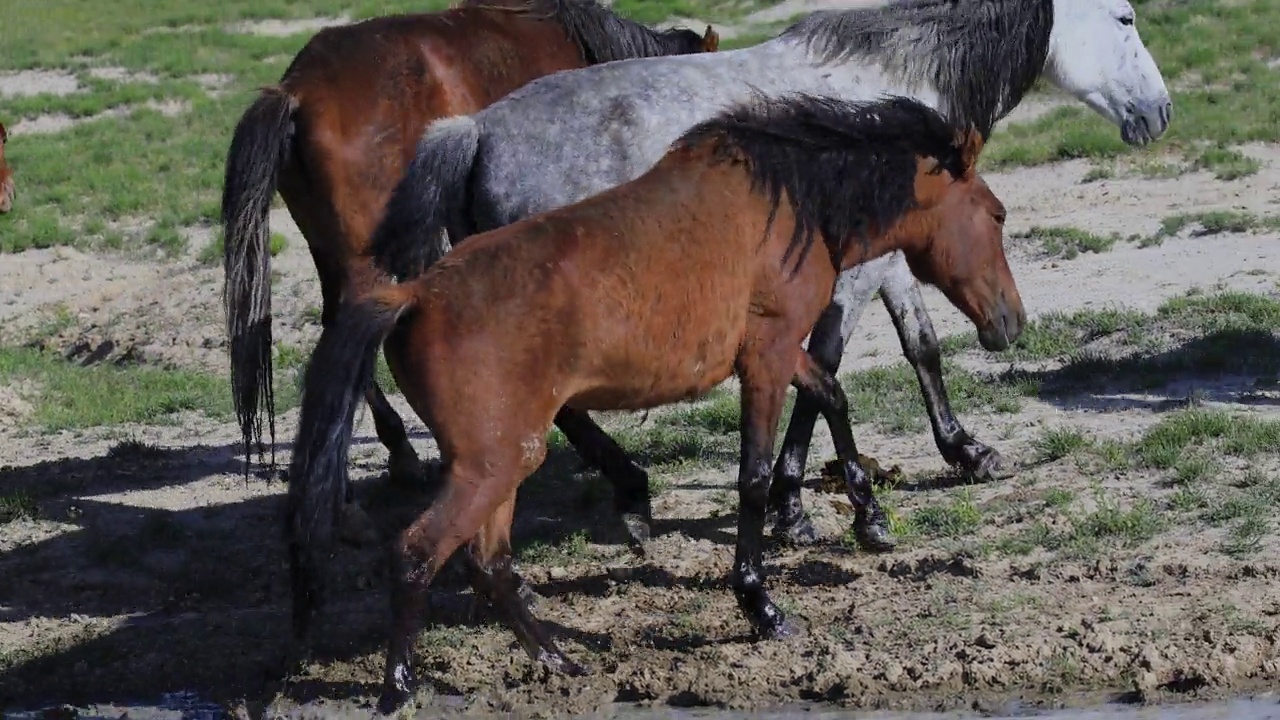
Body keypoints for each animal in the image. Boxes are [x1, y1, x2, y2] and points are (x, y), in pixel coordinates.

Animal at [285, 90, 1024, 707]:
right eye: (996, 214)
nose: (1011, 322)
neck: (792, 202)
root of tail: (412, 295)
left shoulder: (781, 349)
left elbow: (834, 397)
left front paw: (868, 518)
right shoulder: (765, 358)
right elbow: (754, 477)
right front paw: (761, 606)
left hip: (503, 460)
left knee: (487, 563)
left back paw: (559, 662)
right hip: (492, 464)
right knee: (417, 553)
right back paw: (399, 686)